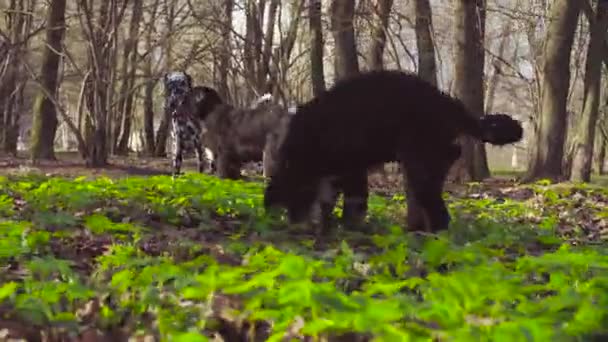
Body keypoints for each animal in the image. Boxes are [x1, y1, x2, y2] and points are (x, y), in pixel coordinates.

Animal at [264, 71, 524, 234]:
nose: (294, 223)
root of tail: (448, 103)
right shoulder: (343, 169)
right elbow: (339, 199)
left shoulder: (349, 166)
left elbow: (353, 200)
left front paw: (346, 225)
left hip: (420, 158)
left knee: (435, 204)